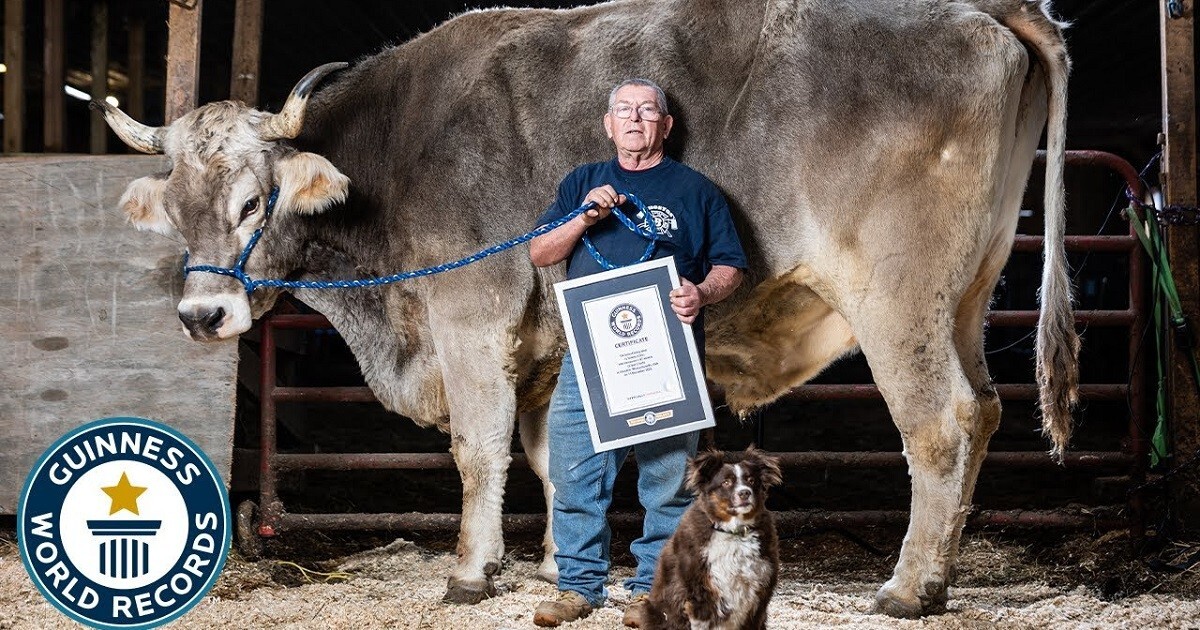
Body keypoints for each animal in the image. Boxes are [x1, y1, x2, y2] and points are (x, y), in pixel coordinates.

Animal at [643, 444, 782, 624]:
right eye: (726, 482)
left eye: (751, 480)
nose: (745, 493)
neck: (735, 532)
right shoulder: (700, 594)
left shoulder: (759, 595)